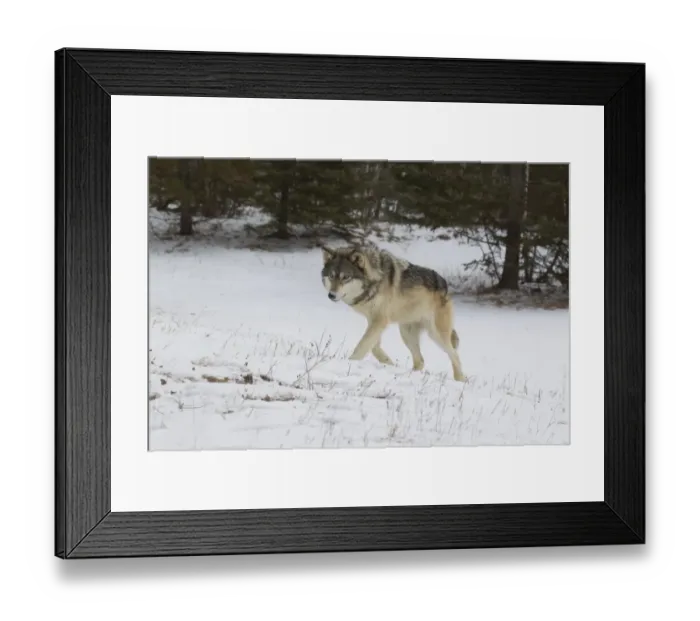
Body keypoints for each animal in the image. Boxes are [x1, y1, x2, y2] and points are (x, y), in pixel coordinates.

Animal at [320, 242, 466, 382]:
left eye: (346, 277)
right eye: (331, 276)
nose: (331, 295)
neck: (376, 280)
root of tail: (444, 284)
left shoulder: (380, 320)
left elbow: (362, 346)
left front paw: (350, 362)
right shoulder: (373, 320)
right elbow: (373, 347)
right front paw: (388, 362)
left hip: (435, 334)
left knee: (455, 355)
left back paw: (460, 380)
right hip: (406, 333)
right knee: (420, 361)